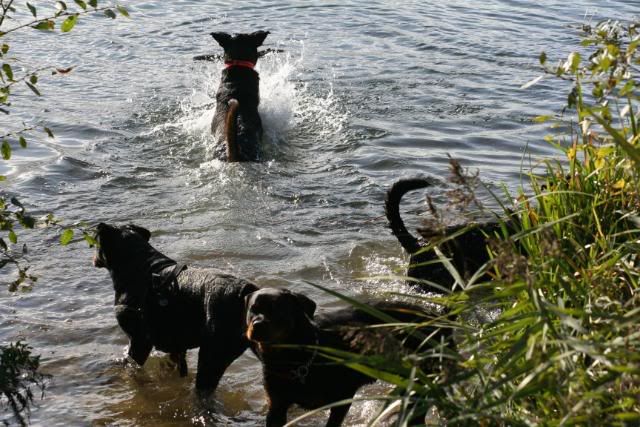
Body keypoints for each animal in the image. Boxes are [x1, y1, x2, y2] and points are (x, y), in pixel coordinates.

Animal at [92, 224, 258, 394]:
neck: (139, 267)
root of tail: (246, 292)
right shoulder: (175, 346)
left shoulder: (139, 341)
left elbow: (131, 368)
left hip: (211, 355)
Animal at [244, 290, 450, 426]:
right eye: (252, 310)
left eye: (277, 310)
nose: (257, 325)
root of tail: (439, 318)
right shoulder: (276, 405)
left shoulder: (342, 397)